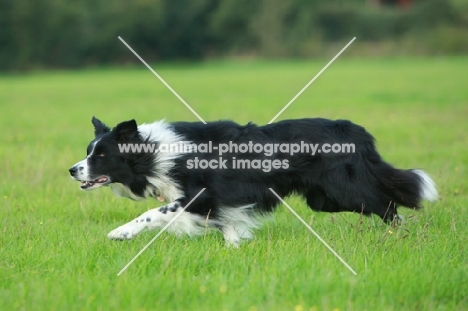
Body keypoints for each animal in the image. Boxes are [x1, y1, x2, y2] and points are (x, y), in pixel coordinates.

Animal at [69, 117, 438, 246]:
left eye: (100, 155)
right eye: (88, 152)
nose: (72, 170)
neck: (154, 153)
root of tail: (355, 131)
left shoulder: (201, 197)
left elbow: (152, 214)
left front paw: (120, 233)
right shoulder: (222, 205)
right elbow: (231, 228)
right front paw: (236, 249)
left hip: (342, 190)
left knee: (387, 201)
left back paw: (401, 234)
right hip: (324, 199)